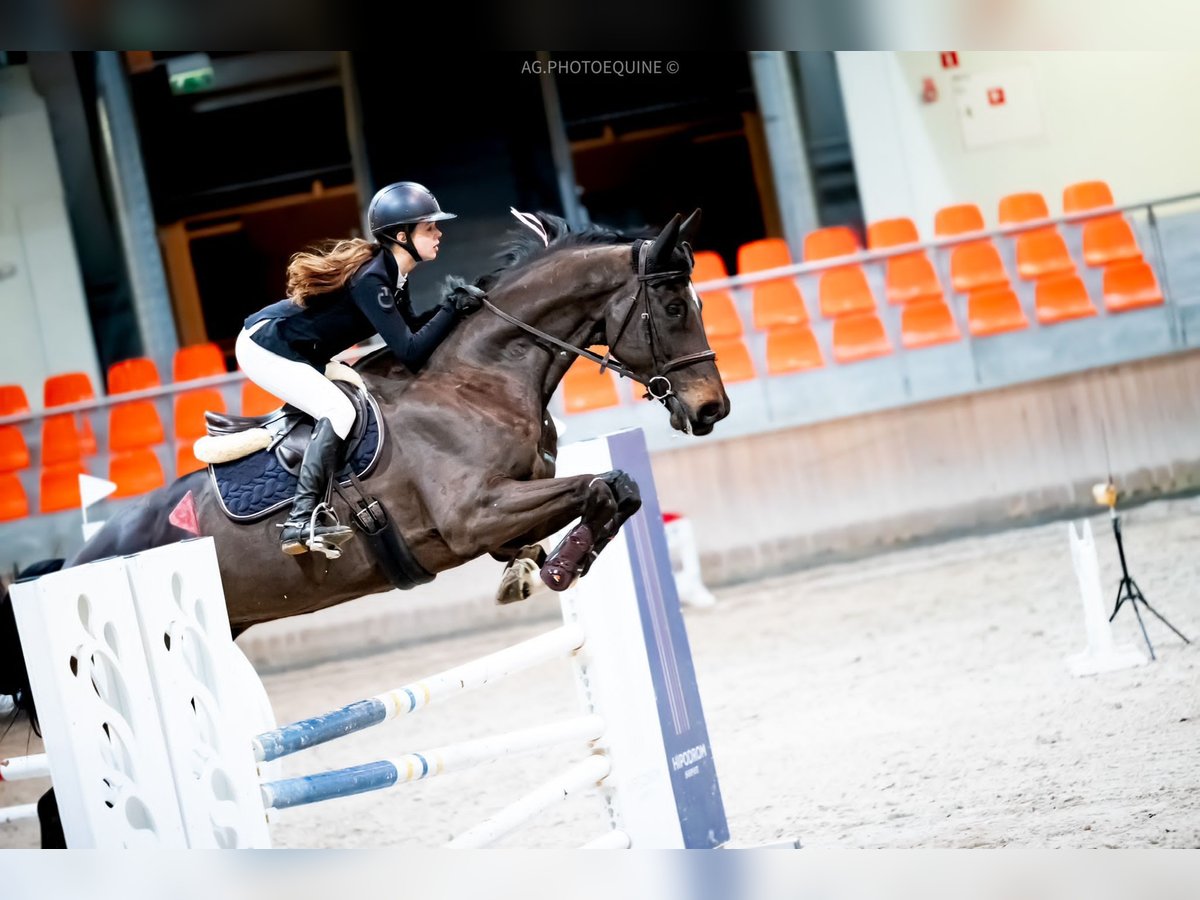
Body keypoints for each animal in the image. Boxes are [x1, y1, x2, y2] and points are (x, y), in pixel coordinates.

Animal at [0, 210, 729, 844]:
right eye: (673, 308)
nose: (712, 410)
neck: (479, 377)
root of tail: (72, 568)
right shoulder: (473, 516)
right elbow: (605, 485)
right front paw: (560, 567)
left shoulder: (500, 516)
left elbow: (611, 492)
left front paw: (537, 568)